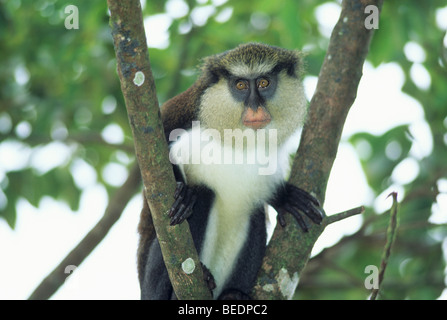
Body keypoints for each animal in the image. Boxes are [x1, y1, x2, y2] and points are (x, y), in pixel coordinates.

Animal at [138, 43, 324, 300]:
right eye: (241, 85)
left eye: (264, 83)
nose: (255, 107)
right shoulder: (183, 115)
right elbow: (151, 161)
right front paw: (183, 194)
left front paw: (285, 197)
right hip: (151, 287)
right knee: (202, 196)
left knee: (254, 211)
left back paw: (233, 294)